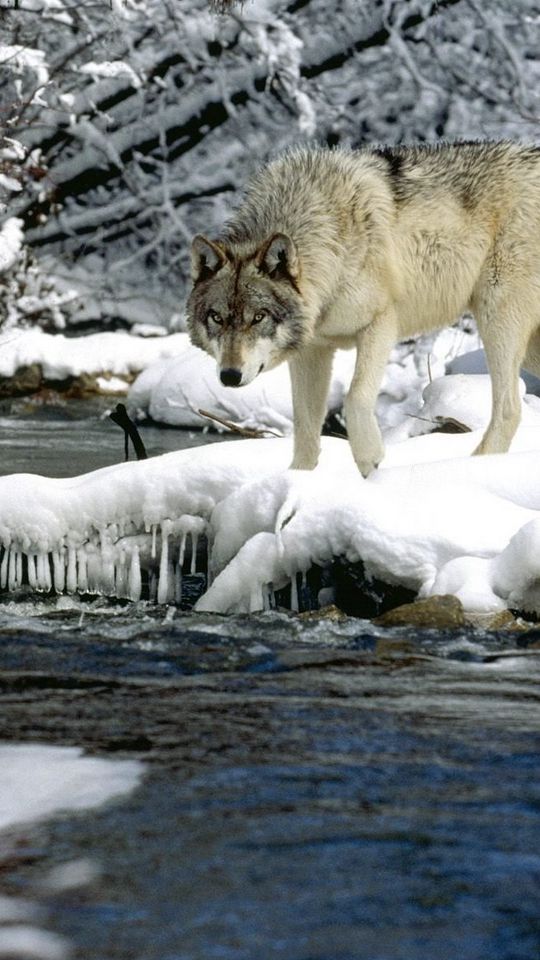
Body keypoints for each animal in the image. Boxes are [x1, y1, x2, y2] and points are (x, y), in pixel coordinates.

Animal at [186, 140, 540, 476]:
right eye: (216, 318)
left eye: (258, 317)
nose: (229, 376)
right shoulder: (311, 351)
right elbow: (304, 426)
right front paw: (296, 482)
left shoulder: (380, 324)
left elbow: (355, 397)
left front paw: (371, 461)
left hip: (498, 321)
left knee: (510, 408)